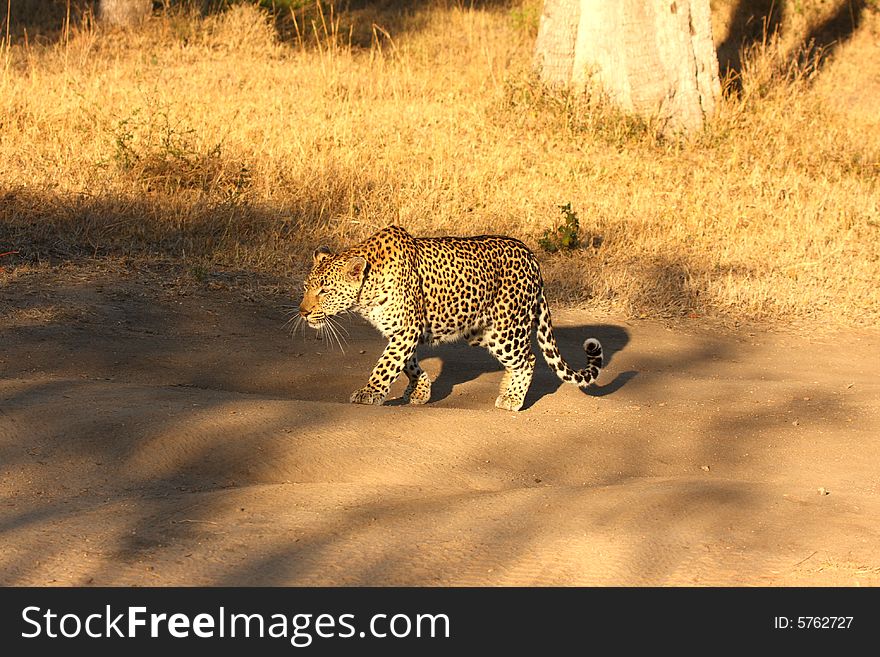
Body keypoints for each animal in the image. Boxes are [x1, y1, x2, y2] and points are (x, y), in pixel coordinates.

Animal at [300, 226, 600, 410]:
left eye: (324, 291)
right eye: (305, 288)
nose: (303, 312)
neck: (367, 292)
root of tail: (531, 255)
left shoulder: (406, 329)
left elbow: (387, 364)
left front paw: (369, 392)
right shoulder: (402, 331)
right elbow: (407, 364)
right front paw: (420, 390)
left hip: (505, 330)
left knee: (528, 359)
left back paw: (513, 398)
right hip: (481, 331)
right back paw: (507, 389)